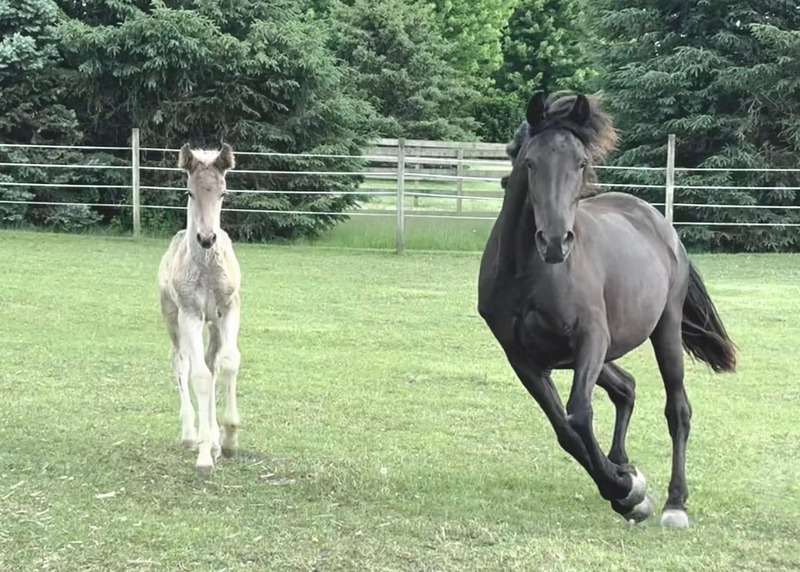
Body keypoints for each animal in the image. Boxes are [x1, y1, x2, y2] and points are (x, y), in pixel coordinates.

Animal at [158, 143, 242, 476]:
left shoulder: (229, 309)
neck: (206, 267)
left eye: (223, 192)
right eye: (190, 192)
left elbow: (228, 364)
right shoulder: (190, 315)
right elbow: (200, 377)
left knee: (212, 360)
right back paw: (191, 436)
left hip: (214, 324)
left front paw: (228, 440)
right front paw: (205, 456)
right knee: (181, 363)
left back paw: (217, 441)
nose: (206, 238)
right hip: (171, 317)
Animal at [477, 92, 737, 528]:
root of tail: (657, 221)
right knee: (626, 387)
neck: (529, 274)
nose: (555, 241)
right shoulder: (524, 358)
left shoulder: (590, 338)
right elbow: (566, 430)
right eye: (530, 162)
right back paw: (623, 468)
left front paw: (627, 489)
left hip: (663, 330)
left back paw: (675, 503)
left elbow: (579, 414)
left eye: (581, 163)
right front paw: (626, 490)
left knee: (677, 409)